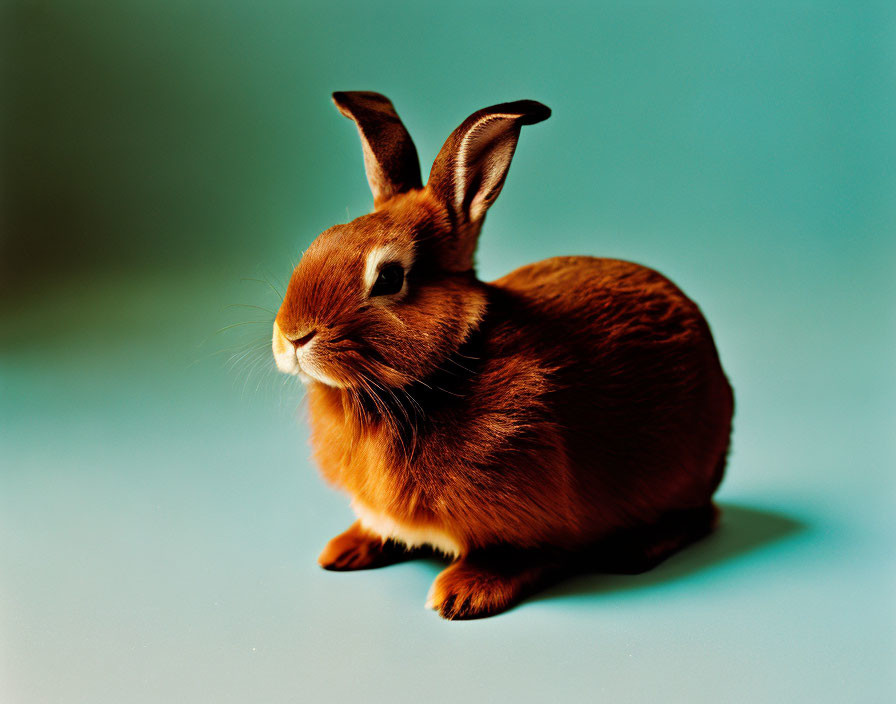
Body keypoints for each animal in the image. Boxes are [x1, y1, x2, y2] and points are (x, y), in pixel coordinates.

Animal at [272, 91, 736, 620]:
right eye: (323, 238)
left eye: (389, 277)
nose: (291, 337)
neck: (443, 370)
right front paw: (345, 549)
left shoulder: (538, 518)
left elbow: (524, 556)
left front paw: (462, 593)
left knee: (703, 516)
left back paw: (632, 550)